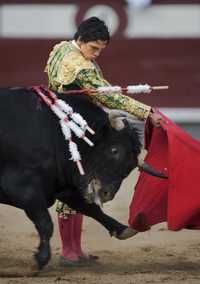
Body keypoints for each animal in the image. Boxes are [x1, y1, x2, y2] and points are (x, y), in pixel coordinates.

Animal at [0, 88, 148, 268]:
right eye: (114, 150)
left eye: (131, 166)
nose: (106, 194)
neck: (55, 133)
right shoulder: (22, 187)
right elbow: (45, 222)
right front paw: (41, 258)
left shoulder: (62, 187)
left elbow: (90, 208)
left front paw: (123, 229)